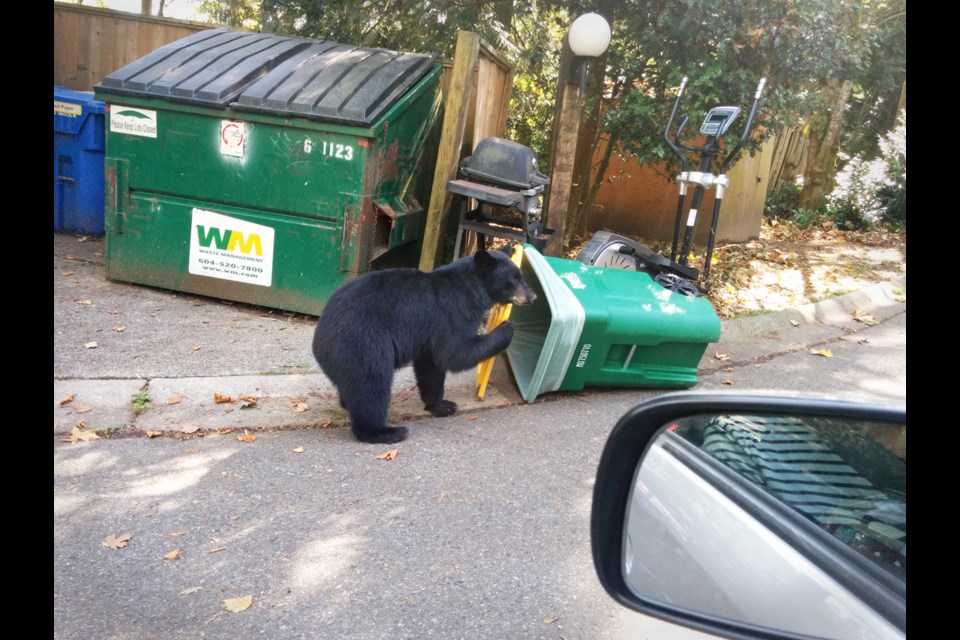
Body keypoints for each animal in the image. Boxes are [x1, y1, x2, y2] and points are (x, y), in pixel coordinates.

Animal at [316, 248, 540, 442]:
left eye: (520, 275)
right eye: (514, 278)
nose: (533, 296)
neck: (472, 288)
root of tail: (320, 338)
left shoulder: (428, 336)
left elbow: (431, 366)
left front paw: (442, 405)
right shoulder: (453, 312)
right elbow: (455, 352)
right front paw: (507, 326)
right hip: (364, 344)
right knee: (371, 385)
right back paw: (386, 432)